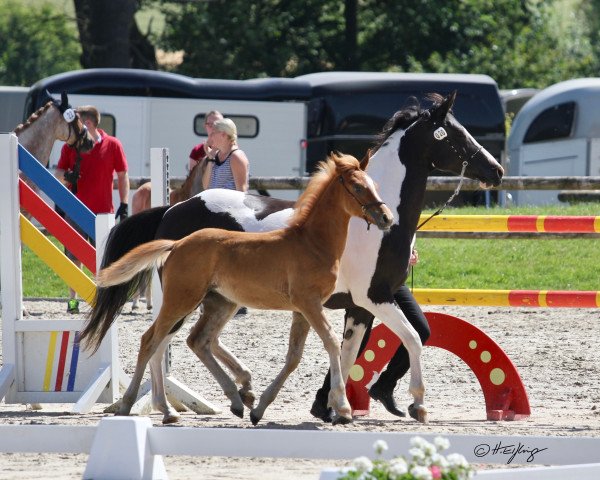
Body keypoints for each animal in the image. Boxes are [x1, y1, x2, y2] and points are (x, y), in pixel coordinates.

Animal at [88, 93, 502, 424]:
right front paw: (415, 404)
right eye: (454, 133)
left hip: (215, 299)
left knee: (189, 341)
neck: (370, 228)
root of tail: (171, 210)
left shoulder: (360, 307)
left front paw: (330, 407)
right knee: (162, 342)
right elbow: (412, 339)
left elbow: (349, 352)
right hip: (185, 296)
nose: (496, 170)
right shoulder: (373, 298)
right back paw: (158, 405)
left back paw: (229, 395)